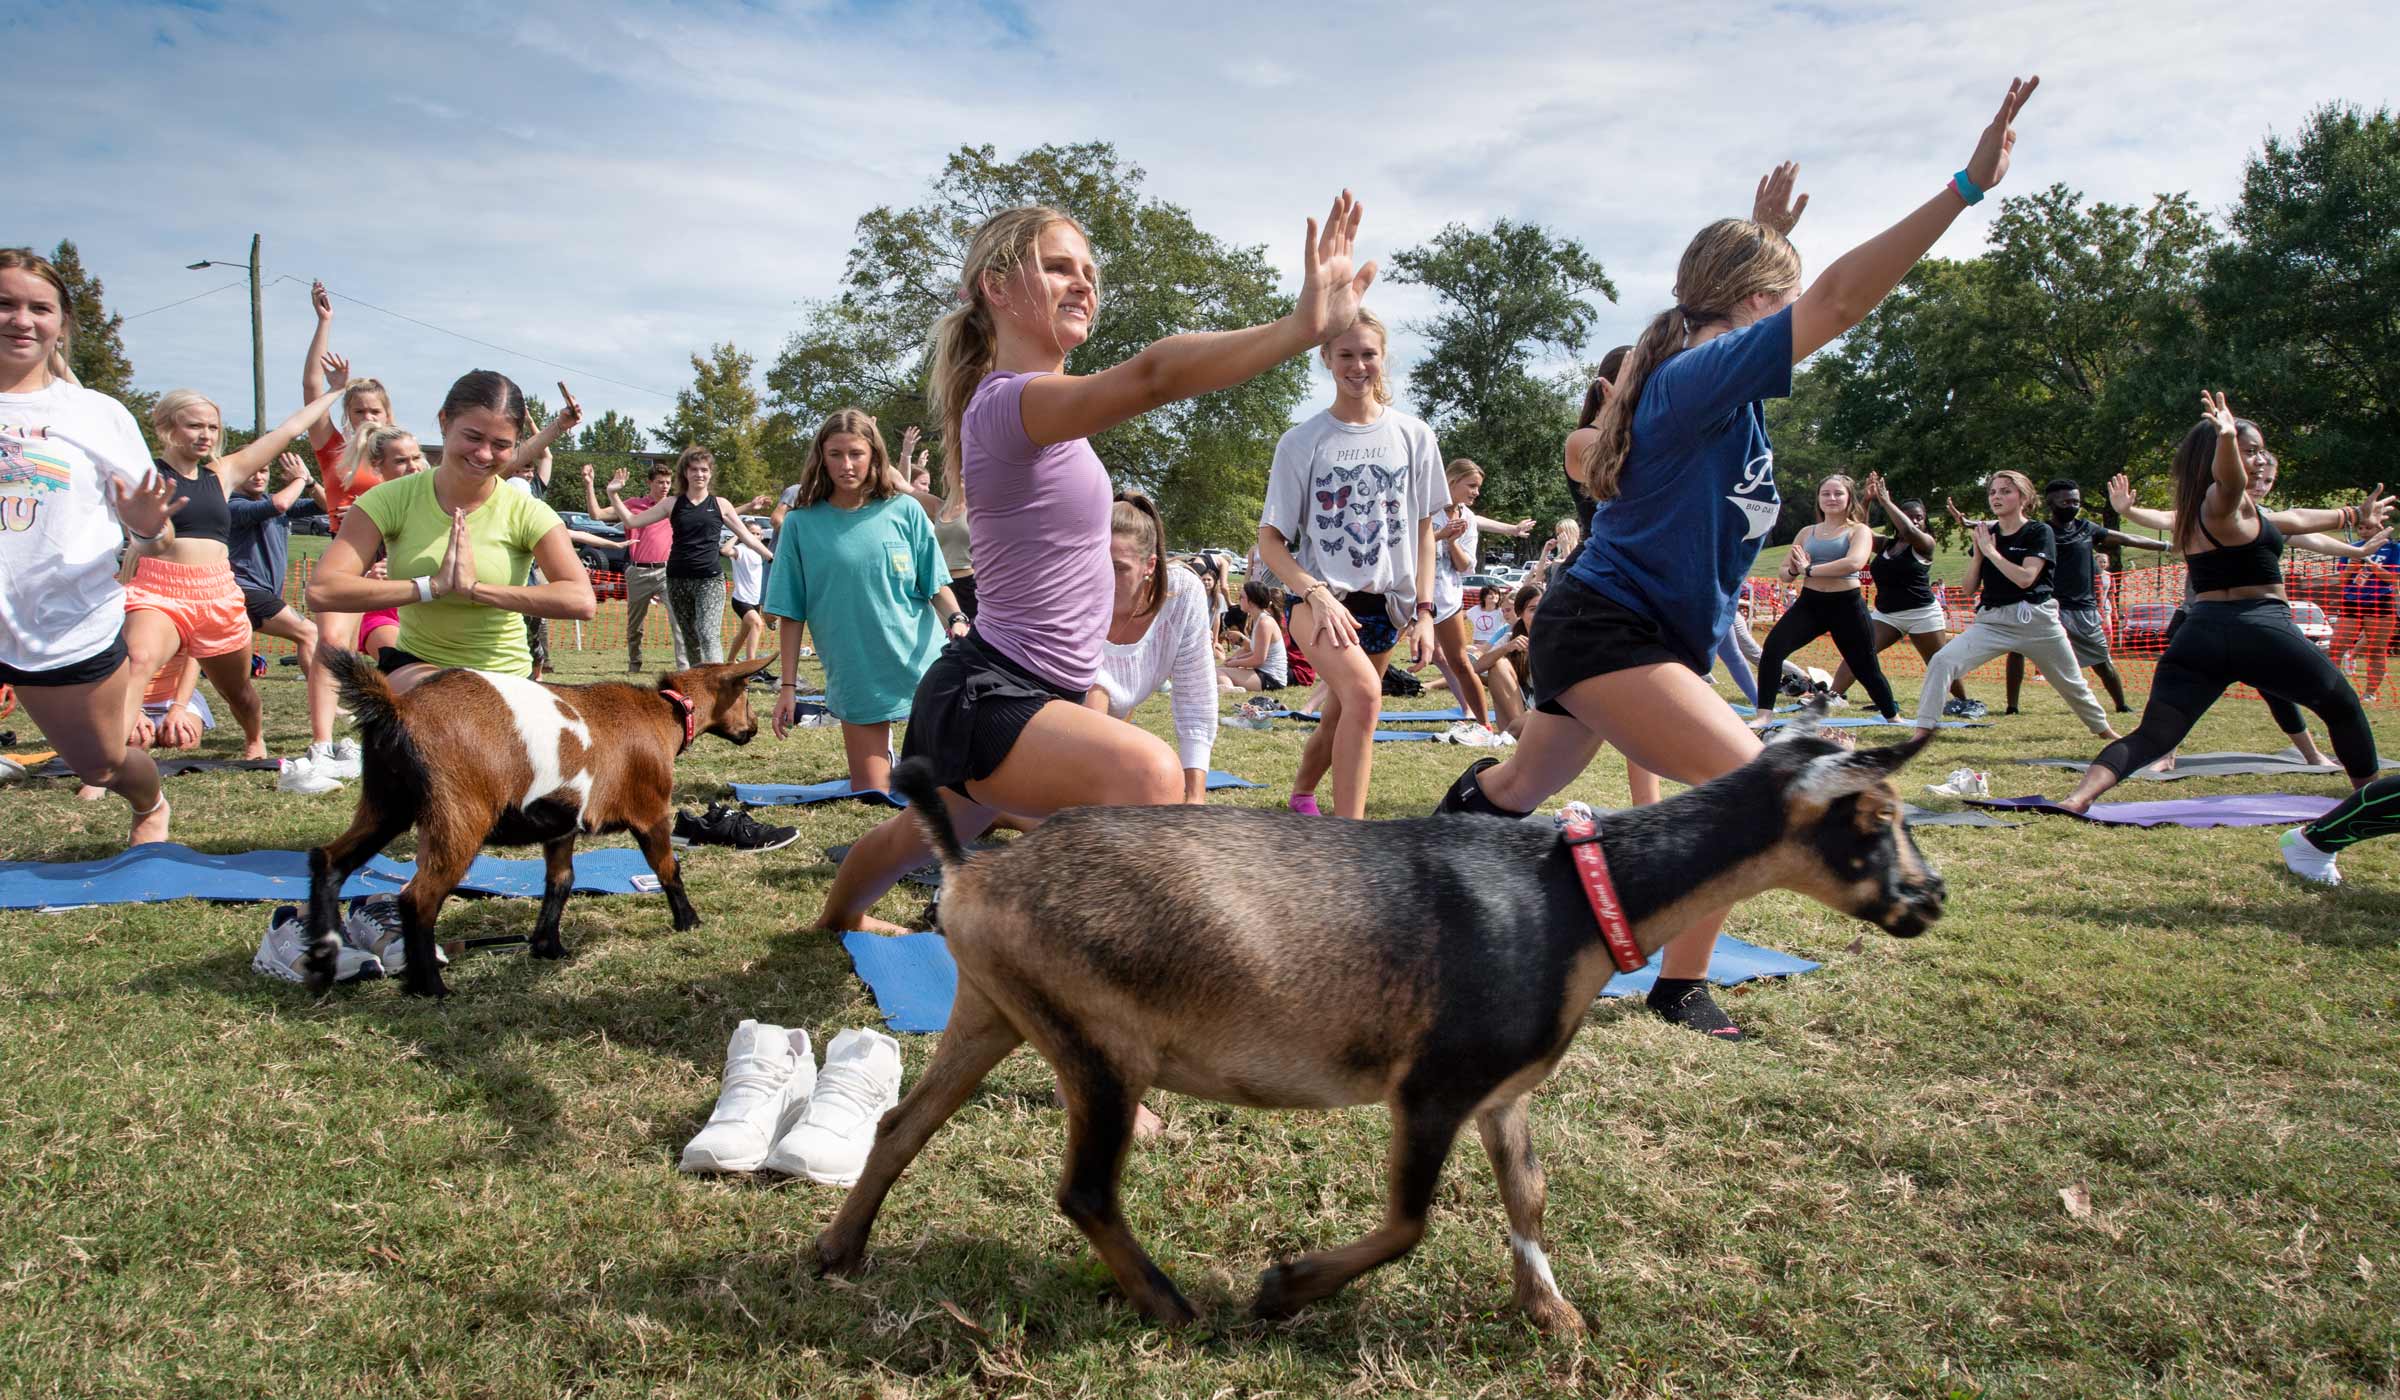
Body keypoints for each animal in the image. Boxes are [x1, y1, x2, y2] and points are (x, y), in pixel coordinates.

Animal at [300, 648, 768, 998]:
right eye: (746, 692)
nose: (754, 727)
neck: (664, 714)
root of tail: (397, 707)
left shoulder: (562, 826)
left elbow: (561, 881)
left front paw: (548, 946)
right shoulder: (650, 810)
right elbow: (667, 867)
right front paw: (688, 920)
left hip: (386, 802)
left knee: (330, 859)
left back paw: (323, 959)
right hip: (458, 812)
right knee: (418, 896)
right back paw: (430, 986)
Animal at [816, 710, 1939, 1335]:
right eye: (1876, 821)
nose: (1928, 900)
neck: (1576, 897)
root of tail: (972, 869)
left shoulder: (1501, 1092)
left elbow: (1527, 1195)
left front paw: (1552, 1312)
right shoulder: (1432, 1084)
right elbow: (1410, 1219)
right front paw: (1283, 1286)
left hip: (994, 1008)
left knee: (901, 1126)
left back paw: (839, 1249)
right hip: (1099, 1043)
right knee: (1085, 1188)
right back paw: (1172, 1305)